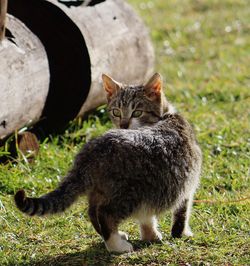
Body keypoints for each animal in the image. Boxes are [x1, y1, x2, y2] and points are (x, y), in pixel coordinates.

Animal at [13, 72, 202, 254]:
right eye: (116, 112)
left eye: (137, 112)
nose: (123, 125)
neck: (166, 116)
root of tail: (91, 151)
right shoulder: (187, 182)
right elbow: (182, 212)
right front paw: (181, 233)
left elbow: (146, 217)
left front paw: (150, 235)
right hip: (130, 193)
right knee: (105, 213)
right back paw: (116, 245)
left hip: (104, 190)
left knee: (92, 211)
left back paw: (112, 236)